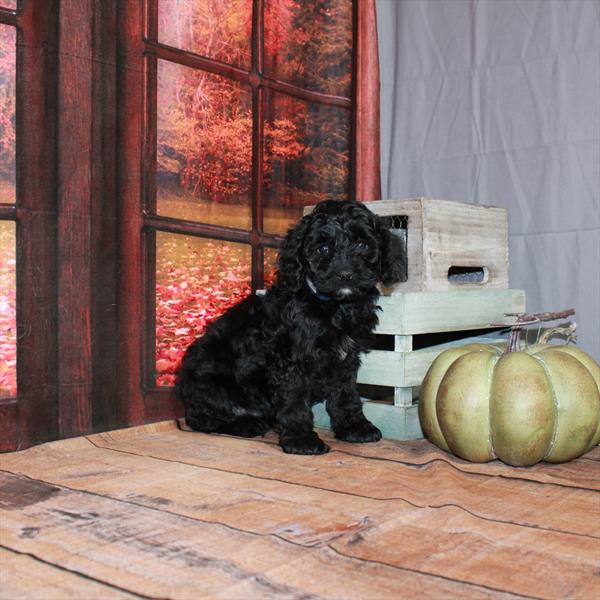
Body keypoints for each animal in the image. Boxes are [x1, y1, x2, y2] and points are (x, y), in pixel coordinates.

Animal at [176, 199, 406, 452]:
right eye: (323, 249)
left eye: (362, 244)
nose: (345, 274)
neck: (334, 306)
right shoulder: (291, 361)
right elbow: (295, 401)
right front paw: (301, 440)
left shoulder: (346, 359)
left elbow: (346, 395)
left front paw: (355, 427)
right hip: (212, 382)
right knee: (203, 419)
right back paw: (247, 424)